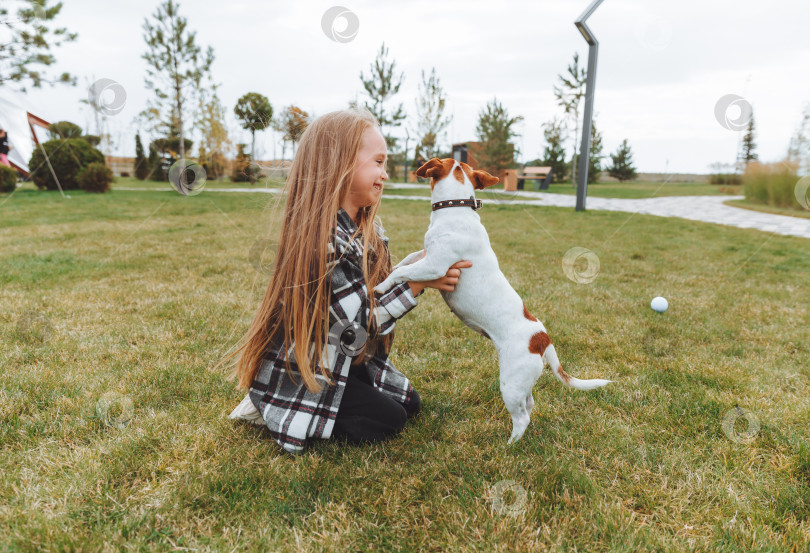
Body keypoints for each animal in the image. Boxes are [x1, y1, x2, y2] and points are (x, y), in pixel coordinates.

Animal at [376, 157, 608, 442]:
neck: (456, 208)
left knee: (522, 417)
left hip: (510, 383)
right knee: (530, 405)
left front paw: (380, 285)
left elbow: (401, 273)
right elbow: (406, 260)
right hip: (522, 383)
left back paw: (509, 445)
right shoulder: (425, 255)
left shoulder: (435, 266)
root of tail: (542, 338)